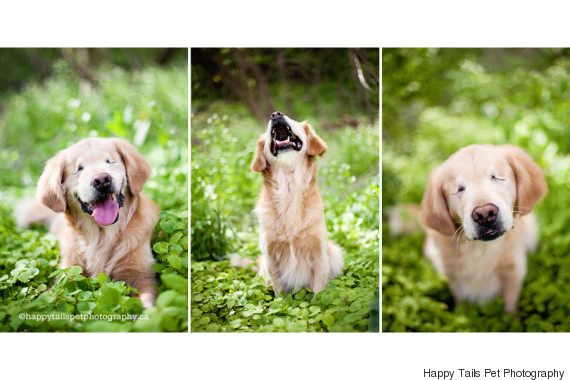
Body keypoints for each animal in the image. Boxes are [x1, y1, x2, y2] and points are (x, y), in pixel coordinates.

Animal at [21, 138, 158, 308]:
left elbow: (146, 300)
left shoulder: (142, 275)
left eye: (110, 161)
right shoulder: (68, 273)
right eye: (79, 169)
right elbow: (52, 295)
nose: (102, 180)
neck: (101, 235)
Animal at [231, 111, 342, 296]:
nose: (275, 114)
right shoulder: (271, 257)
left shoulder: (319, 255)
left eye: (294, 120)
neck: (290, 187)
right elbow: (280, 292)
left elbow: (318, 292)